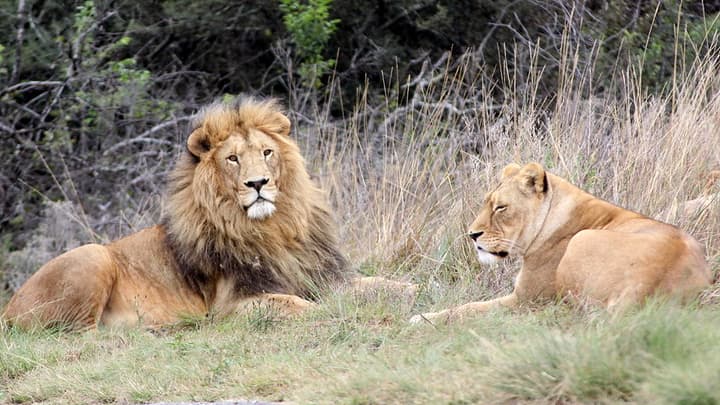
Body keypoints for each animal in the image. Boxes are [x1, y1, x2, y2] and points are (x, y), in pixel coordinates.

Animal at [3, 98, 409, 331]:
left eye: (266, 152)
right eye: (232, 159)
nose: (258, 183)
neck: (272, 229)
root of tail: (7, 310)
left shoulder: (323, 275)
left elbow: (388, 285)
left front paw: (413, 290)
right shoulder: (232, 306)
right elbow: (297, 304)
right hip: (92, 255)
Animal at [411, 162, 712, 323]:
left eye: (501, 207)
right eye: (487, 204)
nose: (472, 235)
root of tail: (646, 283)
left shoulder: (526, 298)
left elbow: (468, 308)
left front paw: (422, 318)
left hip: (581, 244)